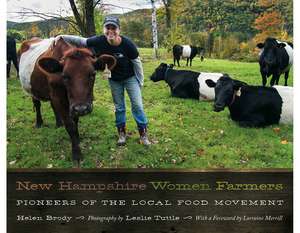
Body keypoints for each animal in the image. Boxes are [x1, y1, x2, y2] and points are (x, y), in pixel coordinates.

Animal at [17, 37, 116, 167]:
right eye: (65, 76)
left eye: (92, 74)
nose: (82, 109)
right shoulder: (60, 98)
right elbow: (70, 125)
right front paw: (76, 153)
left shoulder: (72, 104)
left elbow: (75, 121)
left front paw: (77, 138)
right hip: (32, 88)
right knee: (37, 104)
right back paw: (39, 123)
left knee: (52, 106)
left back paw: (59, 123)